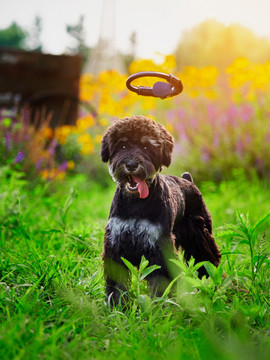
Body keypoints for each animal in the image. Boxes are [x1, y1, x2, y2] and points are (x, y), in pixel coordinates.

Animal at [100, 115, 220, 304]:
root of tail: (188, 180)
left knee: (208, 261)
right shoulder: (115, 243)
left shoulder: (159, 246)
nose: (131, 164)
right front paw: (116, 305)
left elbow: (161, 280)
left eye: (146, 146)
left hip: (201, 236)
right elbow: (117, 282)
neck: (136, 203)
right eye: (123, 146)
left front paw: (160, 305)